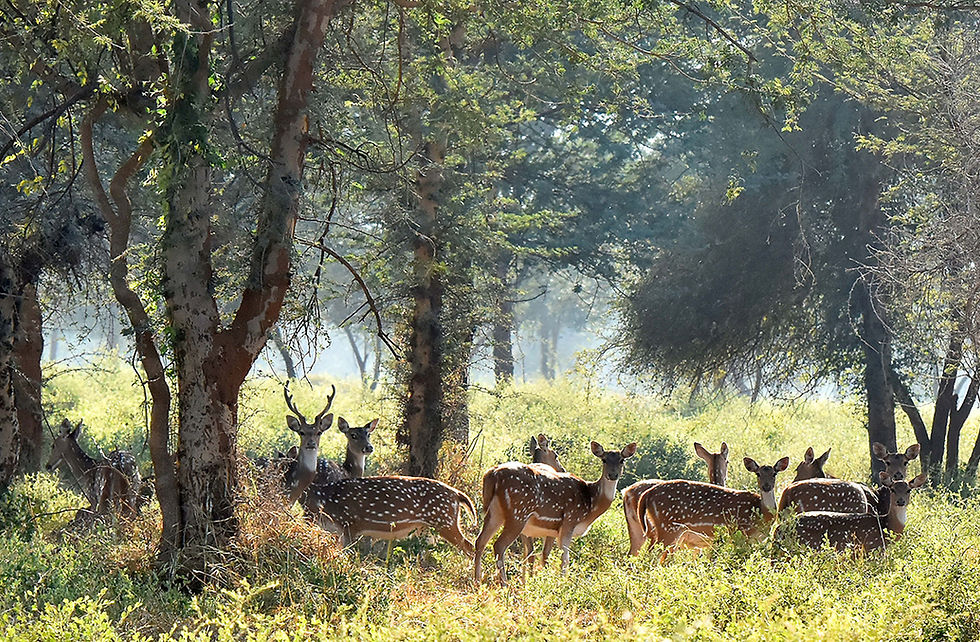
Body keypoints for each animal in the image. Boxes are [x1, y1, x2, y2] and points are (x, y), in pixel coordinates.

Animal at [474, 441, 638, 585]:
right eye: (604, 460)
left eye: (621, 460)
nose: (613, 475)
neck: (591, 503)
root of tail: (492, 474)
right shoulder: (570, 520)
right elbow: (565, 558)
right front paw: (562, 583)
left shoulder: (554, 530)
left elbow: (547, 555)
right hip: (518, 513)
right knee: (499, 545)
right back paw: (504, 583)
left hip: (495, 513)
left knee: (480, 541)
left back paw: (477, 581)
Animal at [638, 455, 789, 561]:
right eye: (758, 474)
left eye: (774, 474)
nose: (766, 486)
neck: (762, 515)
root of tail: (647, 494)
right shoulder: (740, 532)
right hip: (668, 527)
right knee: (652, 556)